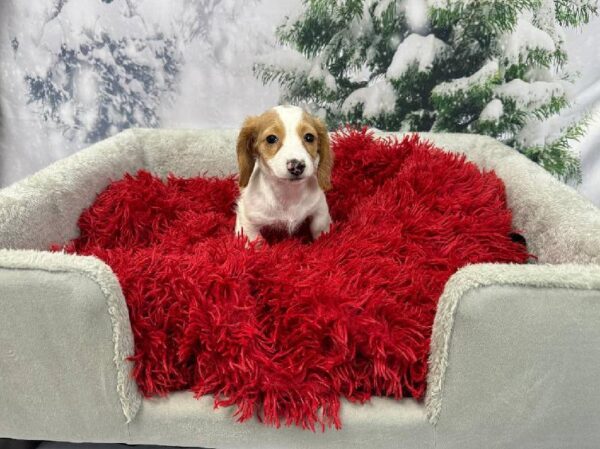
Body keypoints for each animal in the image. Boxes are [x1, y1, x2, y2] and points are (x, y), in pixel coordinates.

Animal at [233, 104, 332, 243]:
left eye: (309, 137)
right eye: (271, 138)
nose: (296, 166)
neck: (289, 193)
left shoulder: (320, 207)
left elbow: (319, 225)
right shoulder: (246, 218)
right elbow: (254, 240)